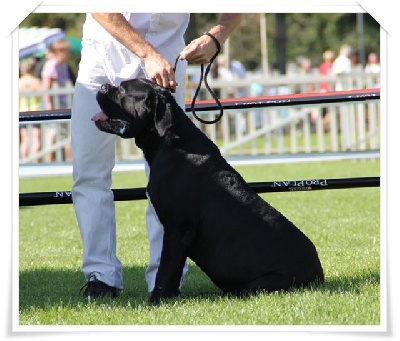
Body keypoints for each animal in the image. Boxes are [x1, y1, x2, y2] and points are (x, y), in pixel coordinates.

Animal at [94, 78, 324, 302]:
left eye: (123, 89)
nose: (103, 86)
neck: (170, 141)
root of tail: (319, 275)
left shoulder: (177, 229)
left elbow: (165, 269)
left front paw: (156, 299)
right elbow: (174, 270)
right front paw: (170, 297)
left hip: (261, 283)